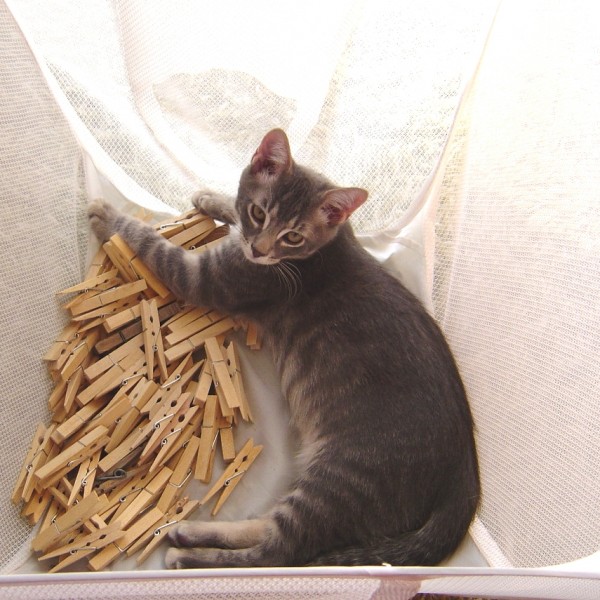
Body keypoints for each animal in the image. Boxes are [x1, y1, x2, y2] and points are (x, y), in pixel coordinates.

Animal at [89, 126, 480, 568]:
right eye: (259, 213)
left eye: (293, 236)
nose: (259, 250)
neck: (317, 252)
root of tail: (464, 478)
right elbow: (232, 206)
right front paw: (212, 197)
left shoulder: (206, 278)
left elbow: (156, 247)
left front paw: (109, 218)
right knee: (268, 533)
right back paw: (189, 533)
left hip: (342, 479)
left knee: (278, 551)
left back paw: (189, 552)